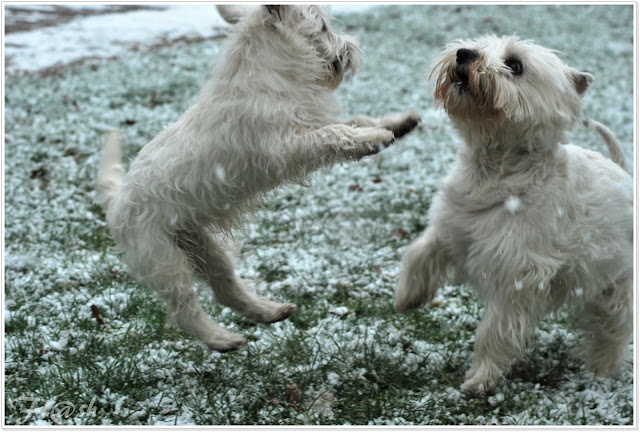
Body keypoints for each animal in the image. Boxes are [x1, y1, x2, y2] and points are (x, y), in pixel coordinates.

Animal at [96, 5, 420, 352]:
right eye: (322, 26)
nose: (353, 48)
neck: (269, 75)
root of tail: (115, 203)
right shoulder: (288, 144)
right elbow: (335, 133)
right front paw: (375, 137)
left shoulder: (309, 121)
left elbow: (355, 121)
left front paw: (397, 123)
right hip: (164, 261)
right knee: (184, 309)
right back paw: (222, 340)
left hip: (201, 245)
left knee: (225, 287)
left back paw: (269, 312)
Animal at [396, 35, 632, 394]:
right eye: (479, 45)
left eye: (515, 65)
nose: (464, 54)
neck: (494, 171)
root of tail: (626, 175)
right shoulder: (453, 226)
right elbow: (419, 251)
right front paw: (407, 296)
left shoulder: (517, 274)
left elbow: (494, 330)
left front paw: (480, 379)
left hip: (616, 289)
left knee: (613, 330)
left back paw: (601, 370)